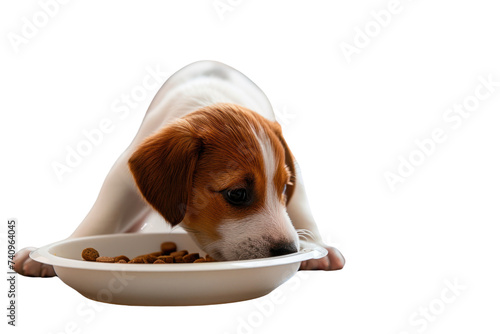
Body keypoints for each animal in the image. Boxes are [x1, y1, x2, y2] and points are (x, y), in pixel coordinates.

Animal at [14, 60, 344, 276]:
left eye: (283, 188)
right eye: (237, 194)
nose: (290, 251)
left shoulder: (294, 173)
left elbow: (301, 208)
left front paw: (317, 247)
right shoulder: (122, 180)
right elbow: (100, 218)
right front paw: (44, 255)